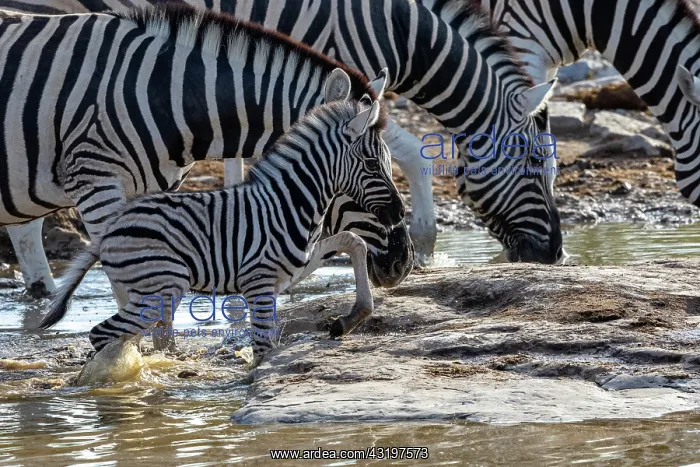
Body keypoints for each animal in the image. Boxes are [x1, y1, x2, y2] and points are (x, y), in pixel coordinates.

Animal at [39, 76, 404, 365]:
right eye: (373, 164)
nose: (400, 213)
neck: (290, 201)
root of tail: (109, 230)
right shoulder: (258, 279)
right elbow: (262, 351)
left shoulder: (291, 268)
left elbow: (353, 241)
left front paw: (352, 317)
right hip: (163, 284)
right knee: (103, 333)